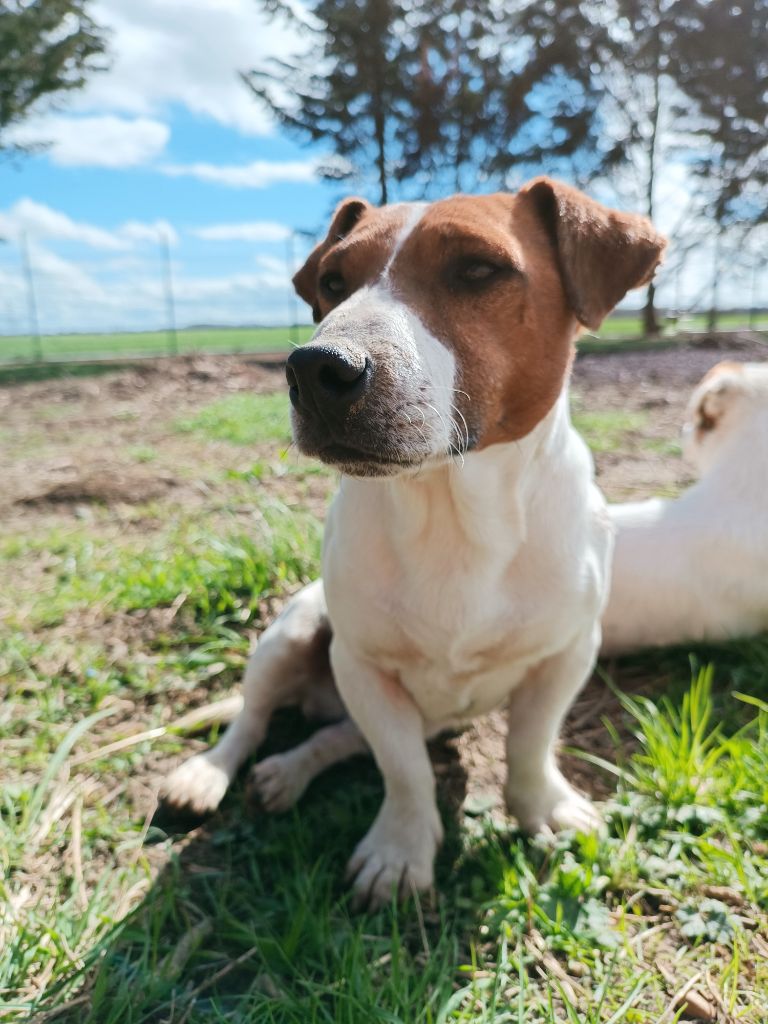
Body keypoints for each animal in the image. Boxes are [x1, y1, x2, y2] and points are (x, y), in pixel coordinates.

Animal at [159, 180, 663, 909]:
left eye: (478, 269)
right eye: (332, 281)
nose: (315, 368)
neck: (452, 511)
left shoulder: (567, 653)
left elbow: (530, 742)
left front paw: (540, 806)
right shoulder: (364, 665)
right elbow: (403, 771)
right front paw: (400, 850)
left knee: (336, 735)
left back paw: (289, 769)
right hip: (292, 632)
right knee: (252, 718)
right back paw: (209, 773)